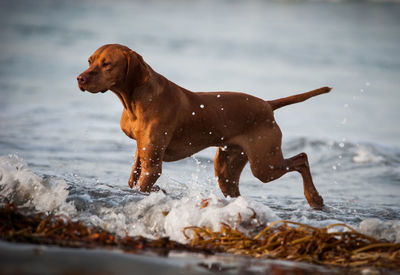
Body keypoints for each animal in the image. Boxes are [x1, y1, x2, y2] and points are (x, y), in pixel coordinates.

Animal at [76, 44, 330, 209]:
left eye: (107, 64)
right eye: (89, 61)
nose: (80, 78)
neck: (136, 100)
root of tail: (267, 104)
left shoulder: (153, 165)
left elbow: (145, 186)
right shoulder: (143, 151)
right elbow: (133, 179)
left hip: (264, 165)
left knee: (302, 158)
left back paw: (314, 198)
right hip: (227, 168)